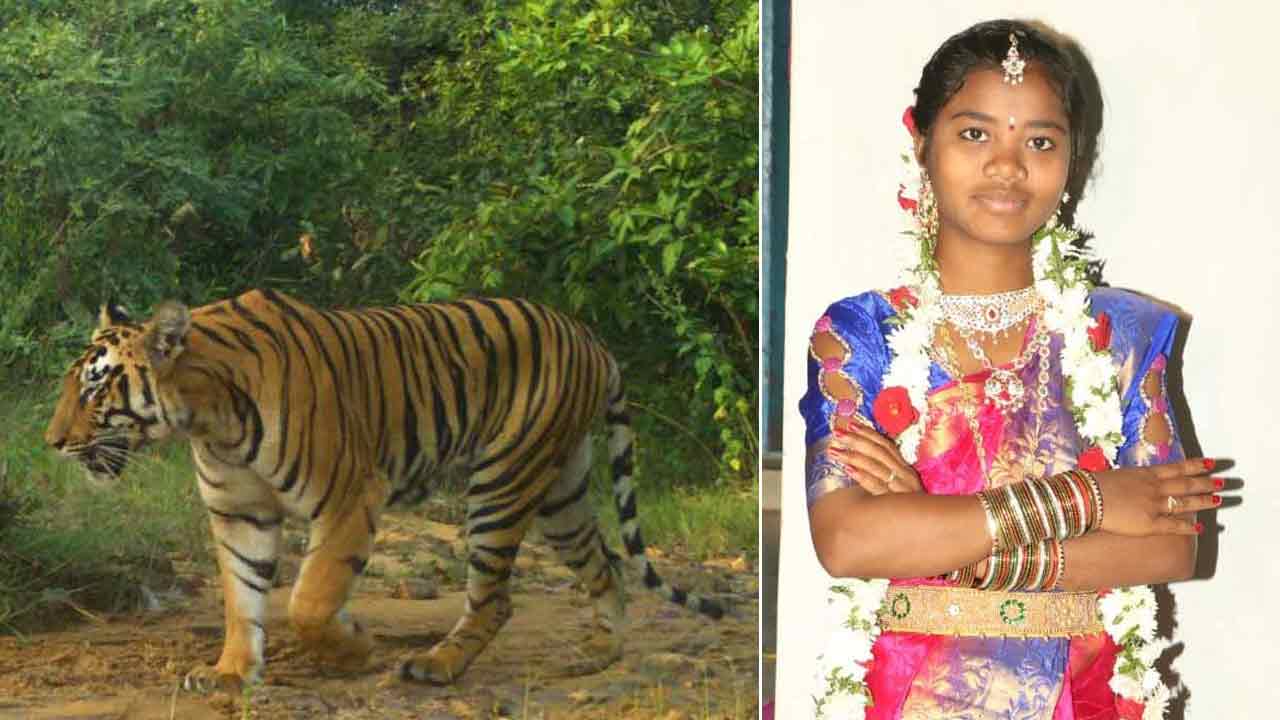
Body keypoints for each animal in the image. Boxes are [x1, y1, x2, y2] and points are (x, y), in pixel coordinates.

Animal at [43, 289, 723, 691]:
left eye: (95, 387)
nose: (50, 442)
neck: (209, 420)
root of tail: (588, 336)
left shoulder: (351, 495)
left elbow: (310, 600)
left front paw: (354, 649)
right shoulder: (239, 512)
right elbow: (242, 598)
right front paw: (230, 673)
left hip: (503, 481)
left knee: (496, 598)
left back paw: (436, 664)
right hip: (561, 489)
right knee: (605, 564)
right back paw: (600, 653)